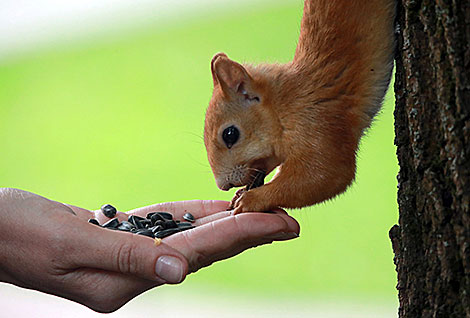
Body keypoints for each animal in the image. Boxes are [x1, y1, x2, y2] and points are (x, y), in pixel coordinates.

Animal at [204, 0, 394, 214]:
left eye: (230, 134)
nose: (223, 185)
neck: (284, 107)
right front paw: (242, 194)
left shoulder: (317, 122)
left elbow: (326, 174)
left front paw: (250, 199)